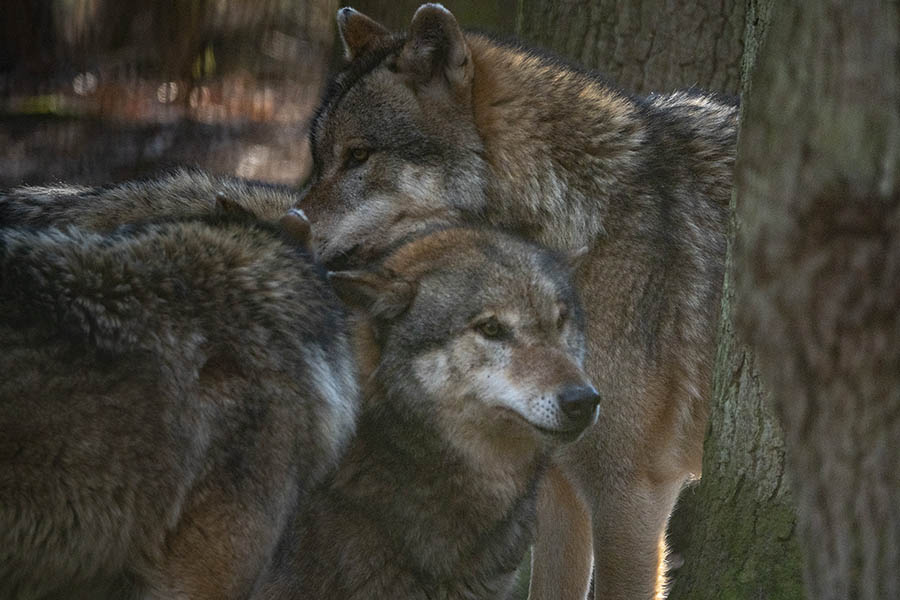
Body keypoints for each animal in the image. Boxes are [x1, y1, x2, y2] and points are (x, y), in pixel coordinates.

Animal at [302, 5, 740, 600]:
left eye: (360, 156)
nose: (290, 223)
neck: (581, 224)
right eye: (319, 159)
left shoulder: (630, 494)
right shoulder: (558, 489)